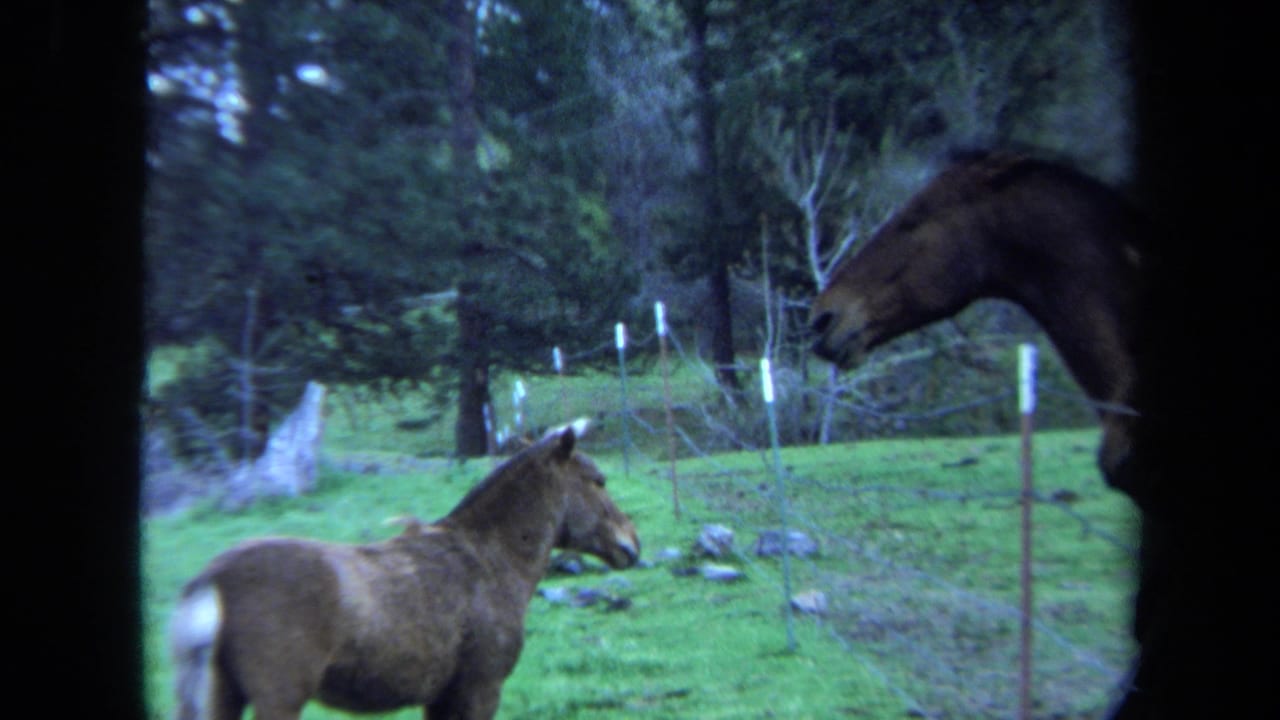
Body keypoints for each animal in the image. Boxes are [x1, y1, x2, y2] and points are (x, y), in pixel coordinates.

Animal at [168, 418, 640, 720]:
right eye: (599, 480)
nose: (631, 544)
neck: (494, 560)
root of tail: (211, 581)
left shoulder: (443, 699)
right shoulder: (480, 689)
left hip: (223, 695)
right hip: (279, 697)